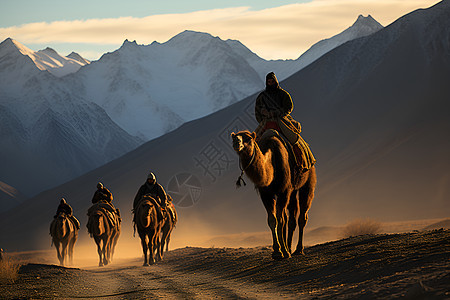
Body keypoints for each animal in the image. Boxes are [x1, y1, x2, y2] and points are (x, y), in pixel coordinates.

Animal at [232, 130, 316, 258]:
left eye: (249, 138)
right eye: (234, 138)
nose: (237, 142)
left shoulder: (283, 191)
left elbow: (280, 220)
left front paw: (283, 252)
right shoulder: (266, 194)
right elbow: (272, 220)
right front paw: (278, 252)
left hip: (308, 182)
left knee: (302, 216)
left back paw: (298, 250)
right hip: (292, 191)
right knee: (291, 218)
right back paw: (289, 247)